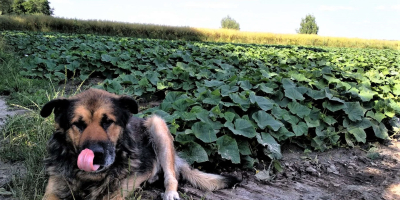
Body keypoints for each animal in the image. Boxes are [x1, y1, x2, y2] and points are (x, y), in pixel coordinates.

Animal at [39, 89, 241, 200]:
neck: (90, 178)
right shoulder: (53, 191)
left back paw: (170, 193)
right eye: (78, 124)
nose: (95, 155)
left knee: (172, 176)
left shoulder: (116, 194)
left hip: (157, 124)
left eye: (107, 122)